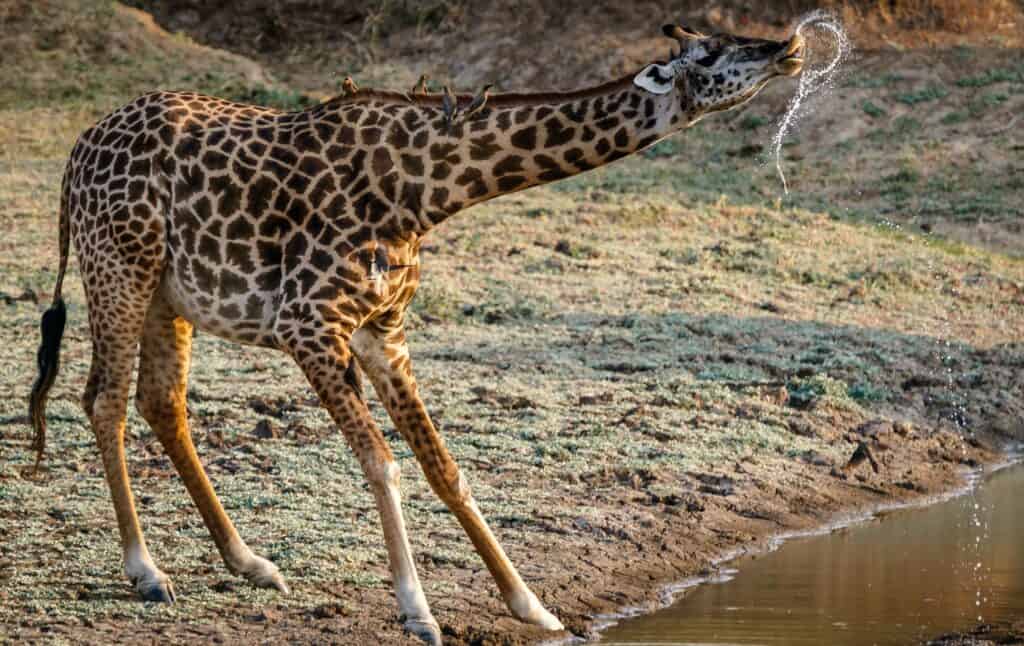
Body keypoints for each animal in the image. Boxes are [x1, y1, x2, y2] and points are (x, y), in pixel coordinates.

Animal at [25, 22, 806, 642]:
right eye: (711, 53)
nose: (790, 47)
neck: (425, 190)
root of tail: (75, 156)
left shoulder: (383, 330)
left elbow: (444, 466)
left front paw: (532, 605)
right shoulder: (308, 324)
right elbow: (383, 462)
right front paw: (419, 612)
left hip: (169, 293)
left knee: (162, 402)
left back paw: (251, 564)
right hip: (119, 268)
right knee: (104, 399)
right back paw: (147, 572)